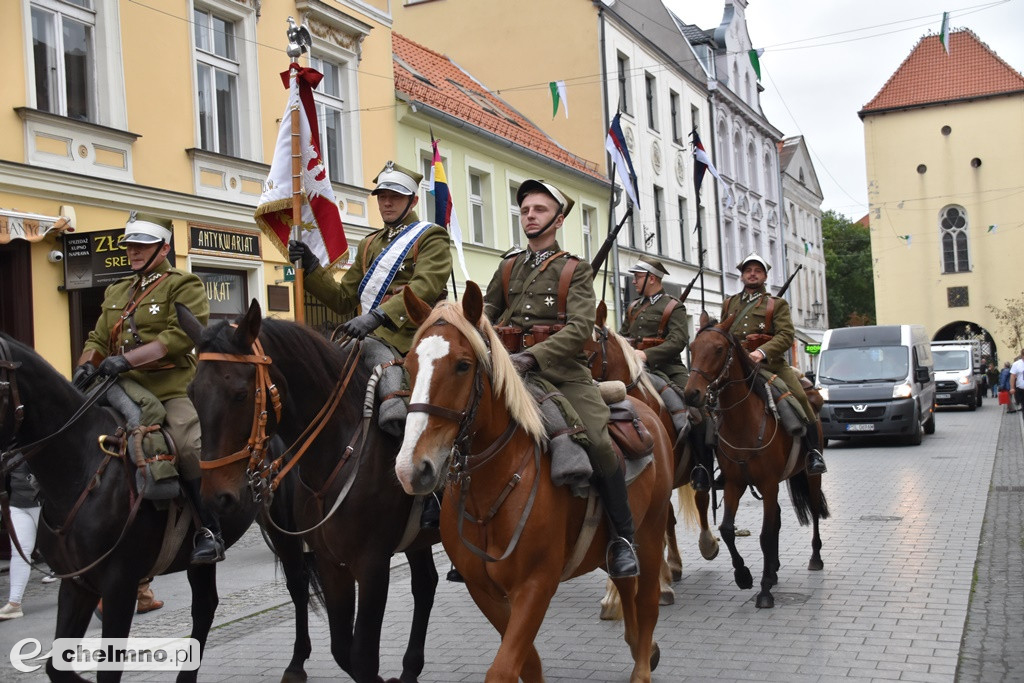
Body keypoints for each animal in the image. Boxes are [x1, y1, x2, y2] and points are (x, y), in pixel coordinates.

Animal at [0, 331, 317, 679]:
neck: (83, 467)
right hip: (198, 557)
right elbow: (56, 668)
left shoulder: (119, 584)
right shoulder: (76, 583)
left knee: (297, 582)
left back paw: (297, 662)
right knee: (206, 605)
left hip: (282, 524)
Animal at [180, 301, 440, 683]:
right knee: (425, 585)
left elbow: (362, 657)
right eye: (192, 394)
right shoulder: (332, 563)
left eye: (240, 394)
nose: (216, 496)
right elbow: (343, 651)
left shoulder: (373, 565)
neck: (342, 445)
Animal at [395, 282, 675, 683]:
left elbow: (503, 669)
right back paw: (643, 647)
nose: (412, 469)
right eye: (409, 365)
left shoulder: (536, 585)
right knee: (626, 586)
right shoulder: (485, 591)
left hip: (650, 533)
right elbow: (528, 663)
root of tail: (646, 411)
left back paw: (641, 668)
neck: (491, 489)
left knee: (647, 601)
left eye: (463, 365)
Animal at [684, 315, 827, 610]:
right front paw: (744, 576)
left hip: (810, 475)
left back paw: (814, 559)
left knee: (813, 509)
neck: (743, 421)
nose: (691, 394)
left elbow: (764, 534)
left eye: (718, 349)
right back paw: (773, 571)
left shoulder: (769, 483)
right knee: (778, 519)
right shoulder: (735, 483)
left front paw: (763, 592)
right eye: (692, 347)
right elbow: (728, 530)